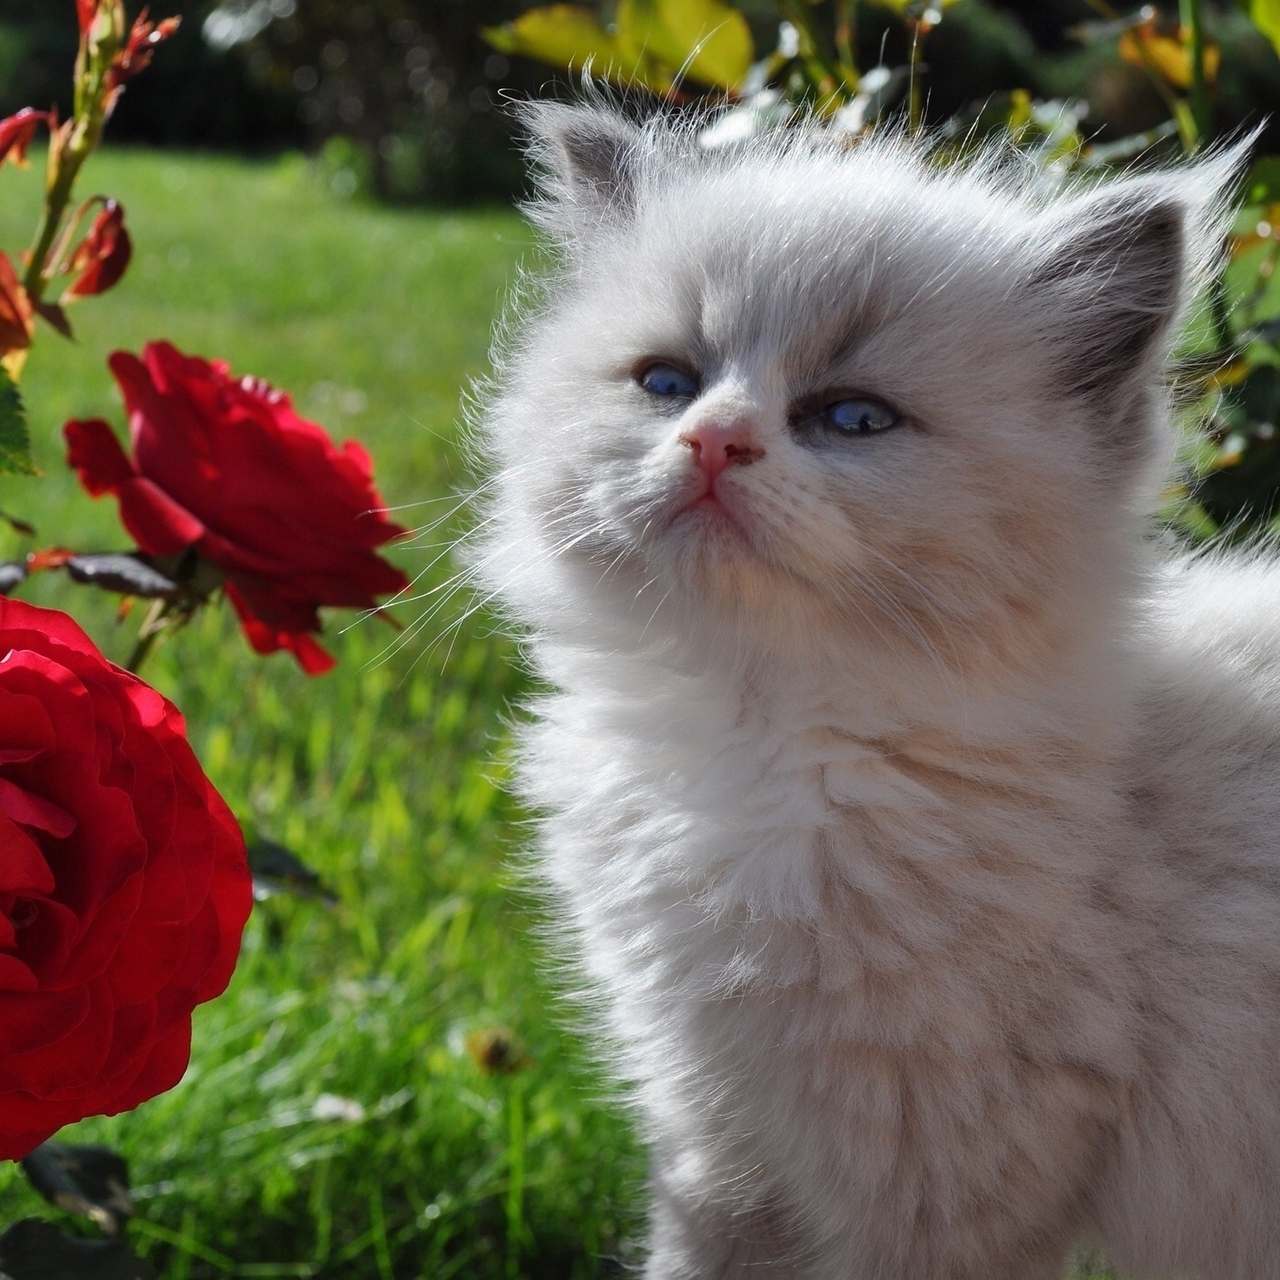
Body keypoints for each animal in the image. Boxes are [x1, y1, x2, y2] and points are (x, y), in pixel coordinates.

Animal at [473, 102, 1280, 1280]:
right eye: (667, 384)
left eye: (852, 419)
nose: (713, 440)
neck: (756, 739)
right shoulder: (716, 1146)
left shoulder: (933, 1187)